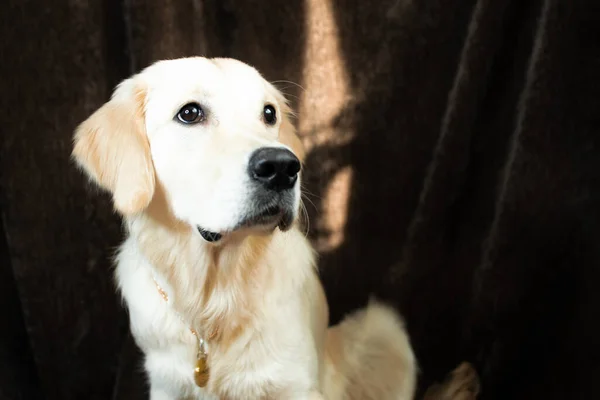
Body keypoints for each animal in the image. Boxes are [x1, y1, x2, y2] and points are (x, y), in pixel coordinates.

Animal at [71, 57, 418, 400]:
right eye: (190, 113)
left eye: (269, 113)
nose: (282, 167)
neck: (217, 296)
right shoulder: (168, 386)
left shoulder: (297, 385)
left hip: (384, 333)